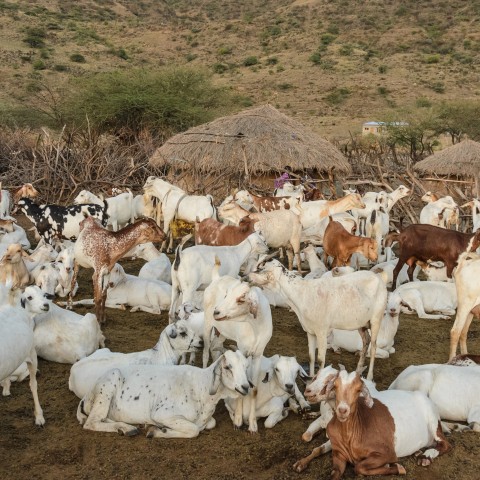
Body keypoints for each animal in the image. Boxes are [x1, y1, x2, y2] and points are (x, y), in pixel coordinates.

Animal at [76, 348, 249, 438]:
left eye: (245, 366)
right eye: (227, 367)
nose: (246, 387)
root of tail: (86, 397)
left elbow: (211, 423)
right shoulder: (162, 413)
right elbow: (193, 430)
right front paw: (159, 431)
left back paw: (128, 427)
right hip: (108, 385)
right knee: (91, 422)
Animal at [248, 258, 386, 378]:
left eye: (262, 269)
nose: (248, 276)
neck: (301, 293)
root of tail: (378, 278)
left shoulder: (322, 330)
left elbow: (320, 360)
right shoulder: (310, 330)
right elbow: (311, 357)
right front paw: (311, 377)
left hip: (376, 318)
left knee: (373, 347)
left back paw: (369, 377)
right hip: (362, 323)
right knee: (366, 341)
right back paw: (358, 371)